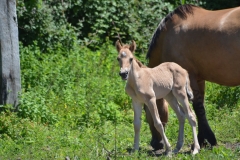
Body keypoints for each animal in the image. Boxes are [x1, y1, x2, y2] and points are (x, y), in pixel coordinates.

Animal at [145, 4, 240, 150]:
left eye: (145, 111)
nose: (155, 143)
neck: (168, 37)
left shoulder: (189, 78)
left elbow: (197, 108)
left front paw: (203, 140)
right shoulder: (199, 80)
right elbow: (201, 108)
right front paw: (205, 139)